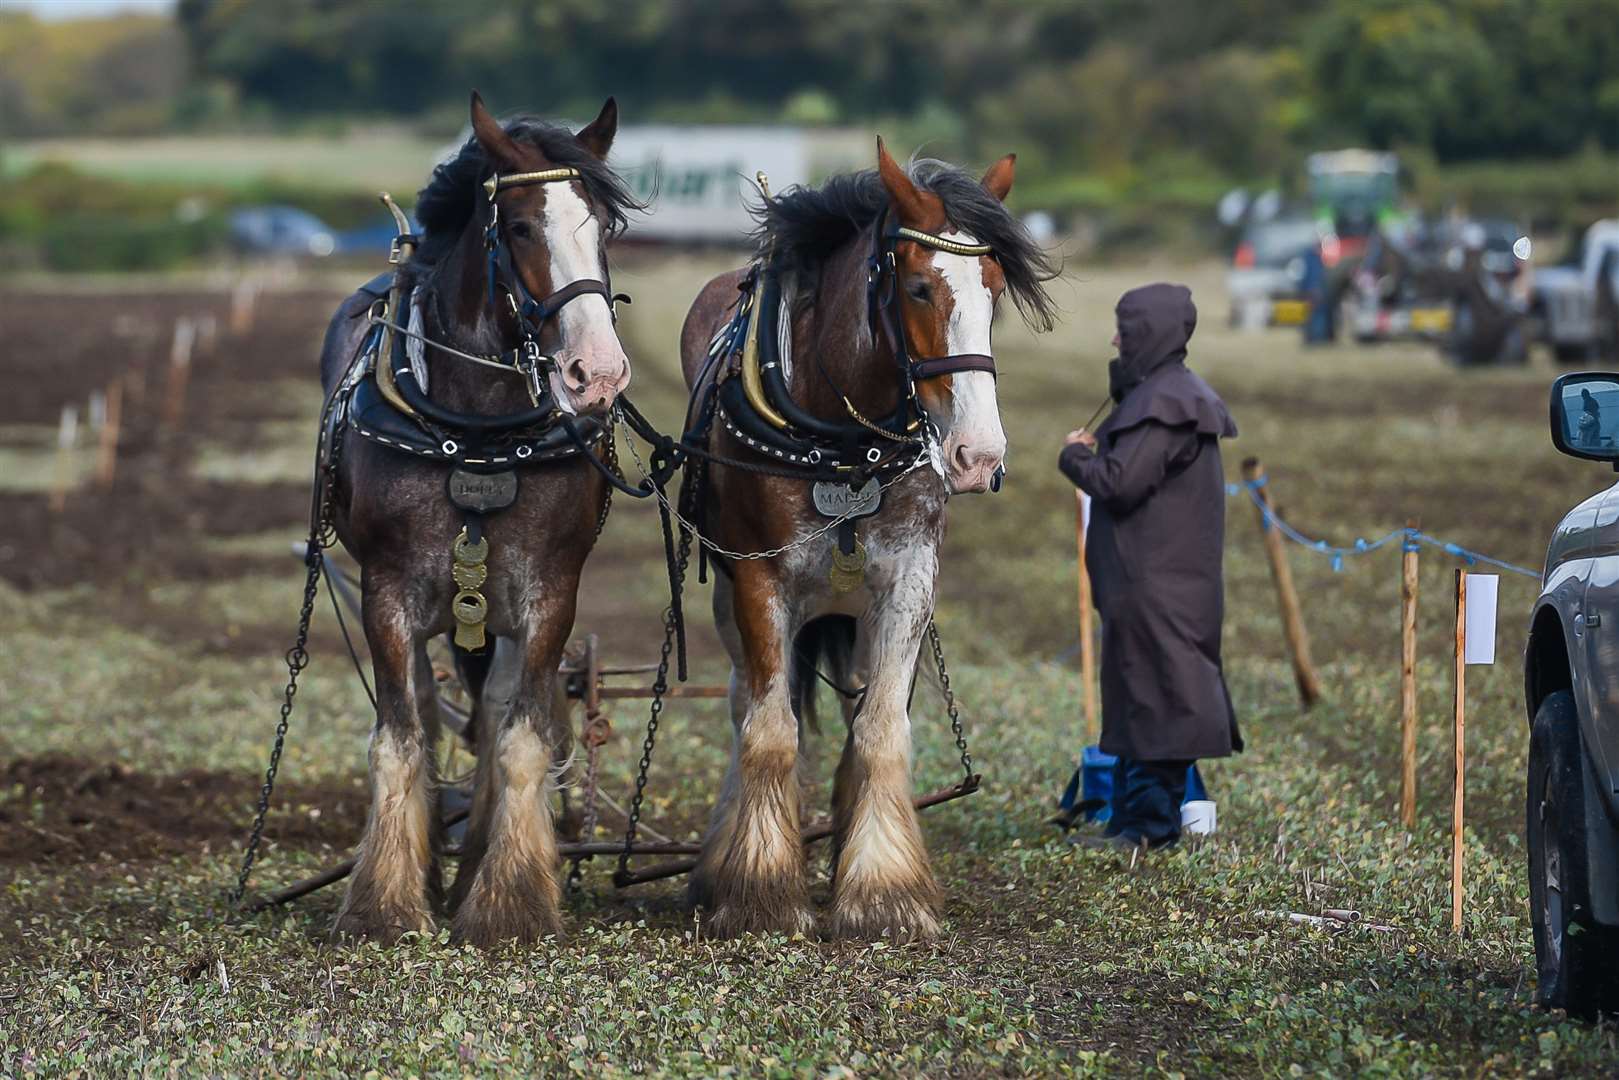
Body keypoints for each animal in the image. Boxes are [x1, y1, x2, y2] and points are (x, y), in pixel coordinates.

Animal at [315, 99, 637, 945]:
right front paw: (385, 902)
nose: (597, 375)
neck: (481, 431)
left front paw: (507, 901)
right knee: (431, 715)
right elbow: (400, 738)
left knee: (492, 717)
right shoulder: (387, 592)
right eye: (519, 227)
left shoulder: (549, 593)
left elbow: (520, 739)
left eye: (606, 226)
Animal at [673, 141, 1062, 939]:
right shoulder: (760, 579)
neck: (845, 442)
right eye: (916, 288)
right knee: (744, 703)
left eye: (994, 289)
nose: (978, 456)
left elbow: (879, 731)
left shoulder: (908, 581)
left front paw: (883, 891)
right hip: (733, 601)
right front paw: (759, 891)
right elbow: (770, 729)